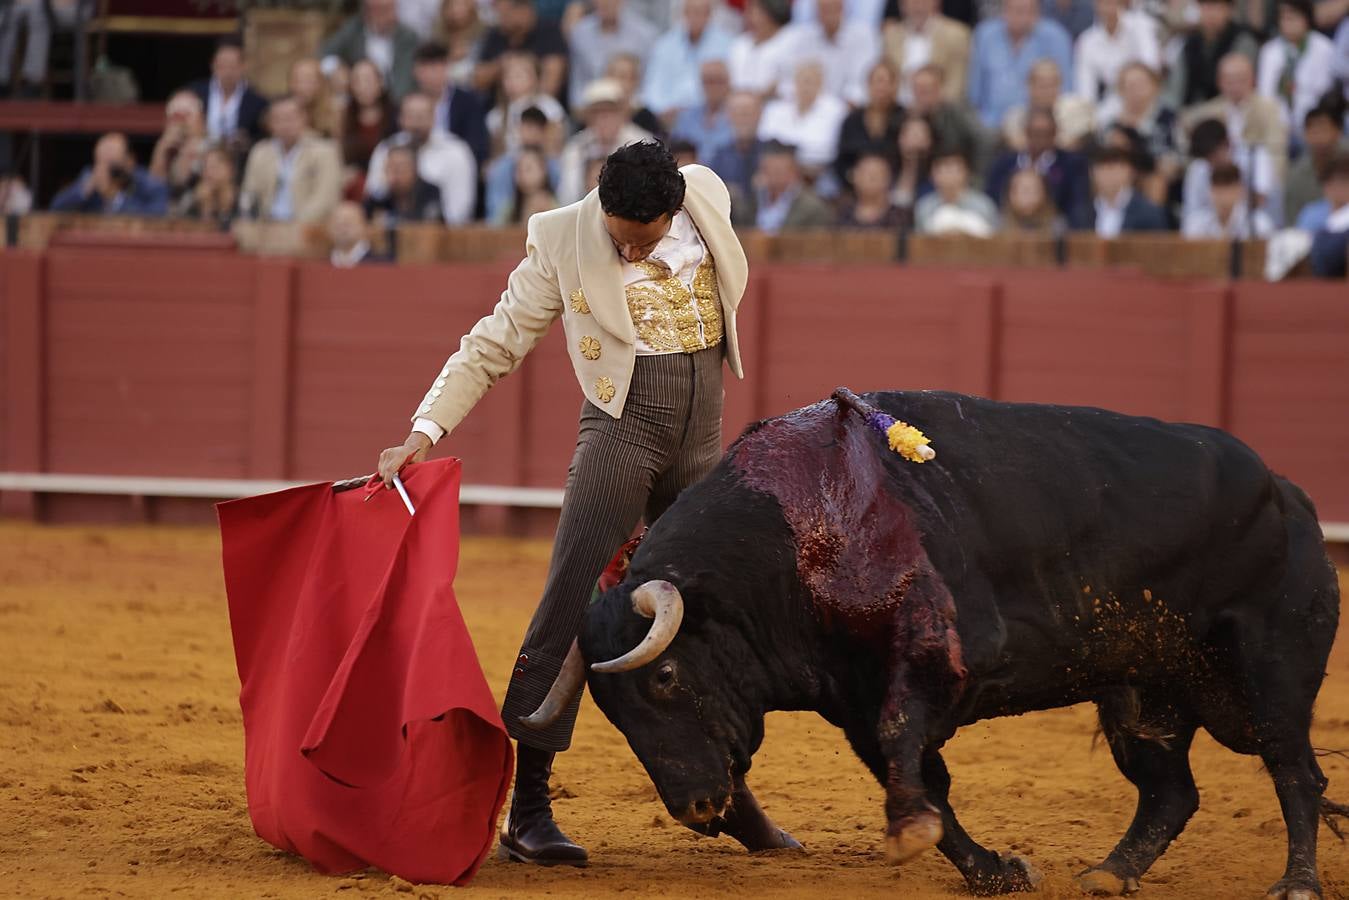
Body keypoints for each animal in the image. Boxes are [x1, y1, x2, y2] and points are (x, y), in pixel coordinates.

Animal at [531, 391, 1343, 895]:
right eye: (611, 712)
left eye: (665, 678)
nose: (696, 807)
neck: (796, 538)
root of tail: (1287, 492)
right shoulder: (854, 701)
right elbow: (922, 778)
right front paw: (993, 871)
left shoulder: (933, 662)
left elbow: (908, 749)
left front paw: (916, 836)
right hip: (1146, 690)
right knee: (1171, 790)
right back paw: (1109, 873)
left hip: (1271, 672)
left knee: (1293, 770)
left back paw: (1296, 884)